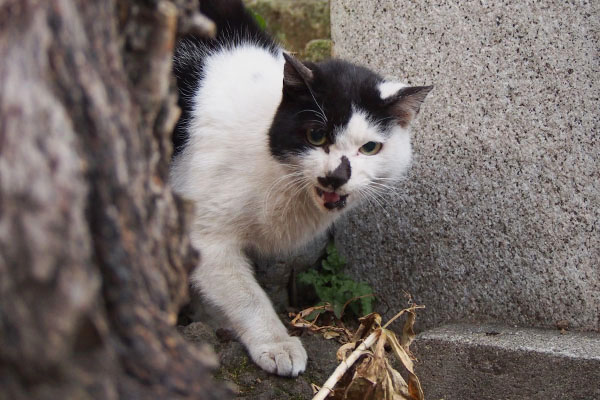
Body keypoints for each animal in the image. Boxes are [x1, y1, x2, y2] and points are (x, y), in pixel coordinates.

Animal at [169, 0, 432, 376]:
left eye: (370, 148)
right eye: (316, 136)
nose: (336, 175)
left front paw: (211, 319)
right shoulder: (203, 231)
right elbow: (245, 294)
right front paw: (276, 343)